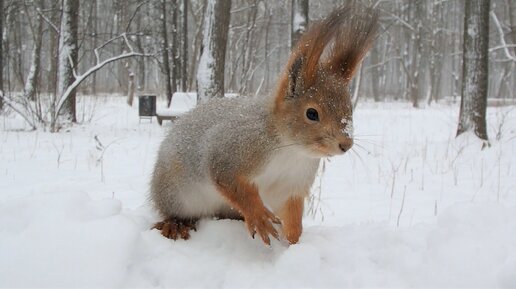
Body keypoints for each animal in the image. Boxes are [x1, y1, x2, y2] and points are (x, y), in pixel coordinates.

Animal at [149, 2, 378, 245]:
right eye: (312, 113)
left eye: (350, 108)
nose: (346, 144)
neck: (290, 149)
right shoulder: (232, 151)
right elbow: (233, 184)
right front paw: (259, 217)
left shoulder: (293, 183)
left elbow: (292, 213)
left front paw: (294, 241)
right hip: (174, 193)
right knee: (174, 212)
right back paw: (176, 224)